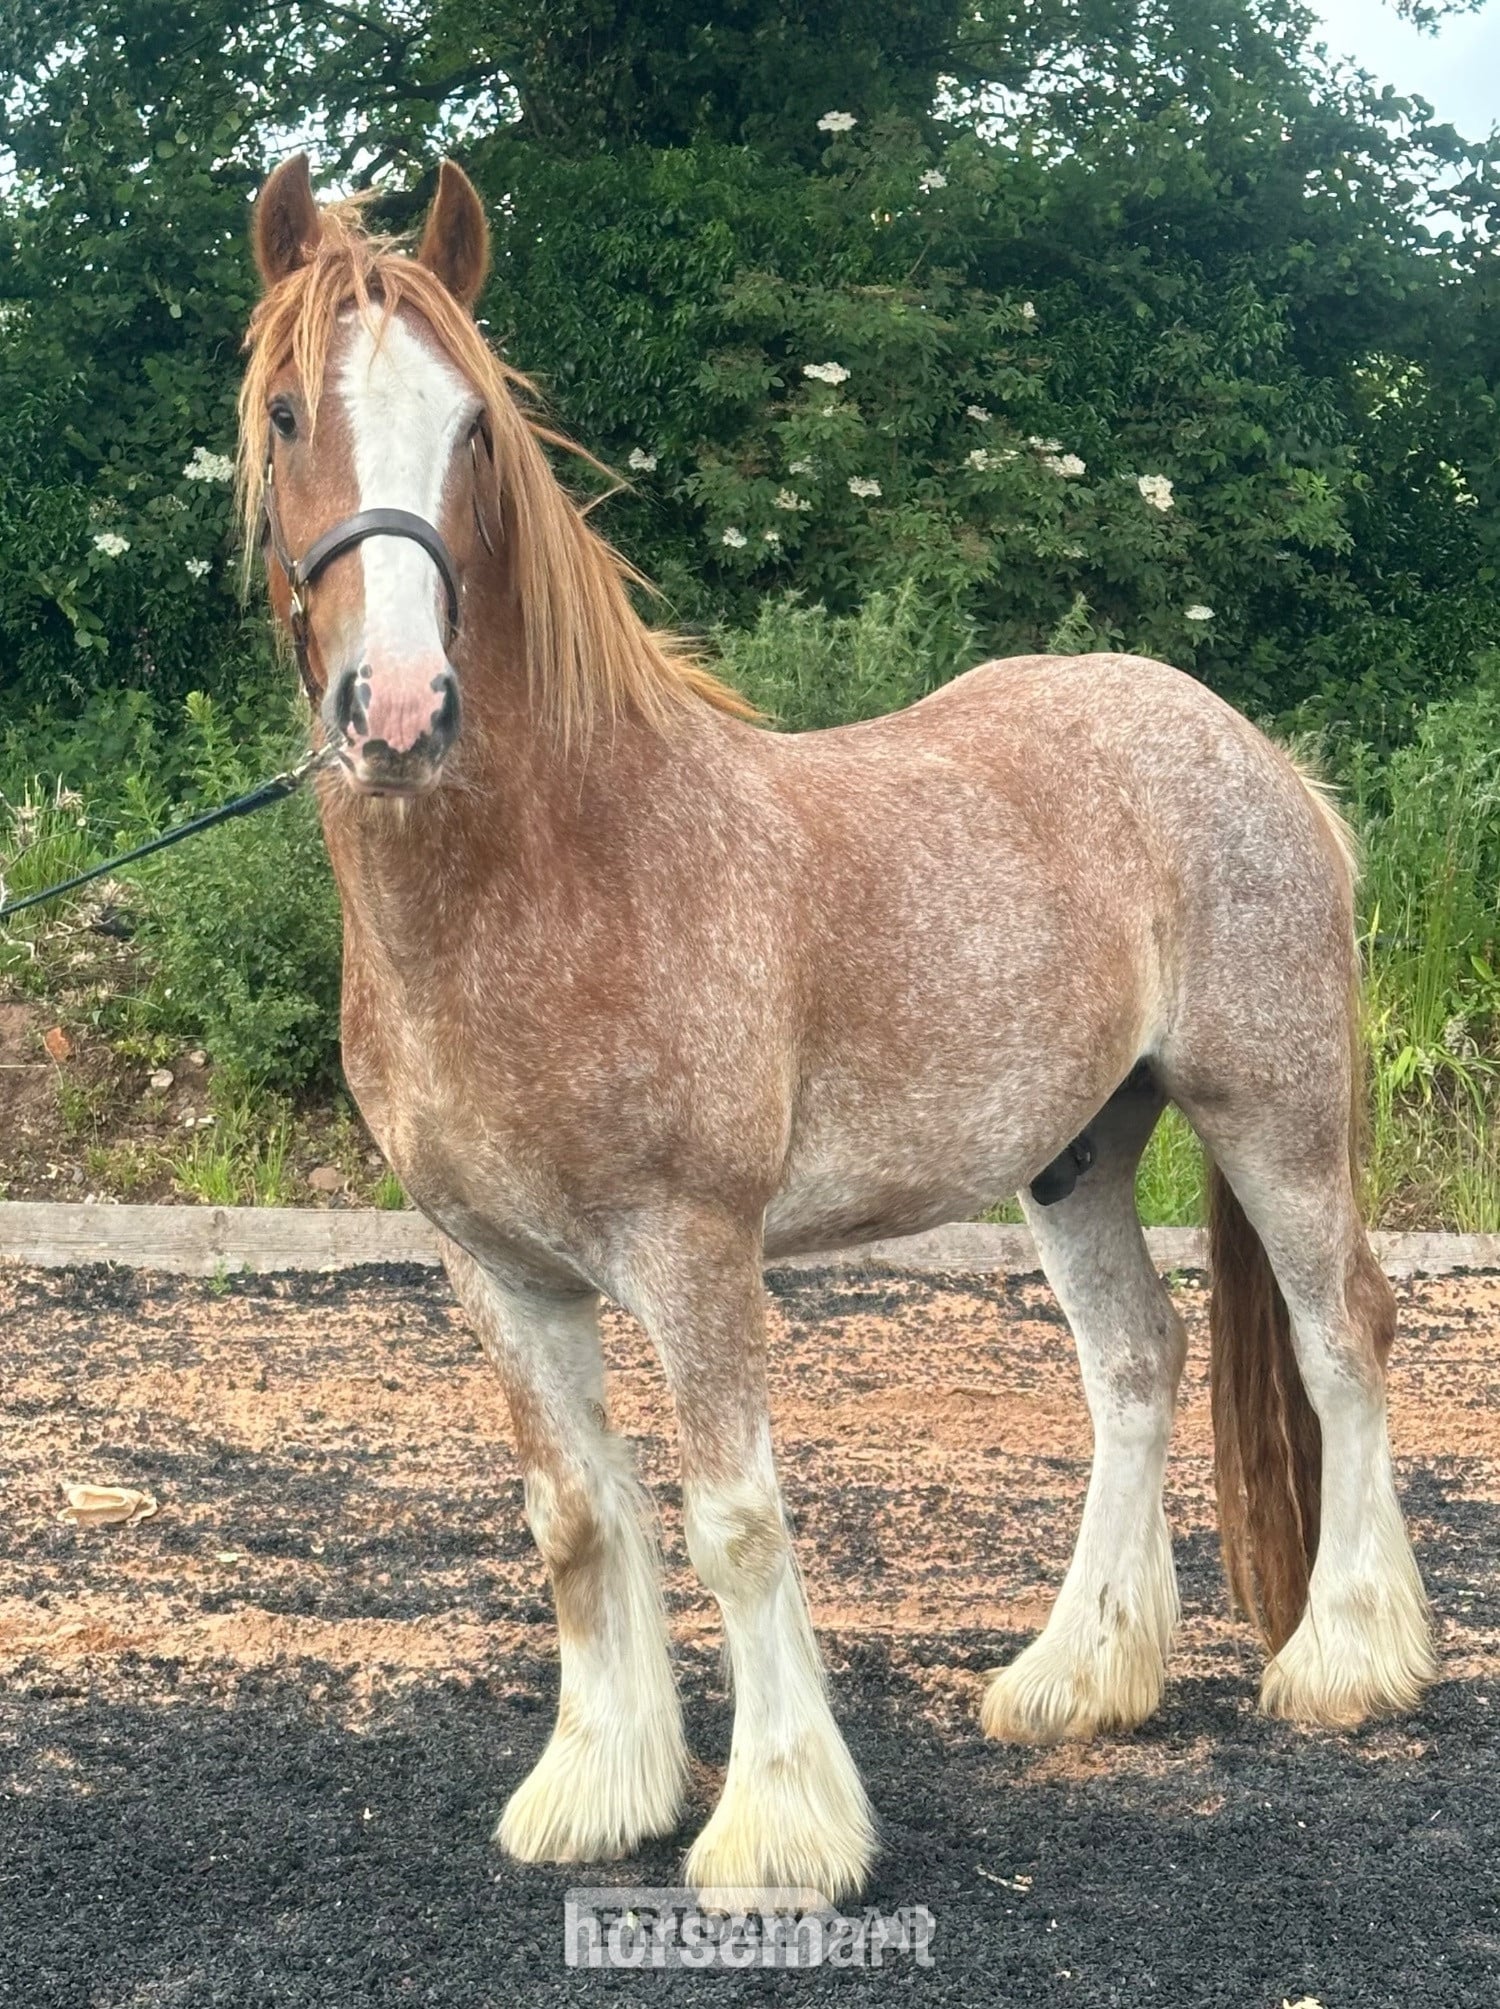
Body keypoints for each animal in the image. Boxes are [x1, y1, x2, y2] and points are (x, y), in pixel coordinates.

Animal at [238, 153, 1437, 1905]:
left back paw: (1349, 1657)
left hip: (1272, 1111)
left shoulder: (692, 1247)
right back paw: (1079, 1677)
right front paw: (598, 1787)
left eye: (471, 428)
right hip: (1078, 1156)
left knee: (1344, 1333)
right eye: (281, 412)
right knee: (1136, 1366)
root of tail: (1258, 754)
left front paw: (779, 1826)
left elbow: (734, 1518)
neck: (549, 872)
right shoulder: (496, 1269)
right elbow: (574, 1516)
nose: (399, 711)